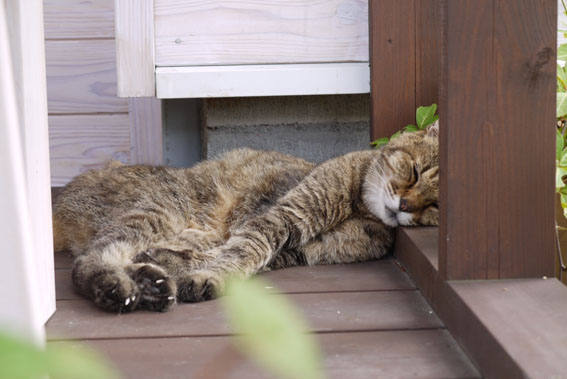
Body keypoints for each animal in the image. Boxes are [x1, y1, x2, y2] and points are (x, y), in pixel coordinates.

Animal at [53, 123, 442, 314]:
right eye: (415, 171)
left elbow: (229, 257)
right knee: (90, 259)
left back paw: (148, 283)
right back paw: (117, 289)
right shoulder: (281, 216)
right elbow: (244, 250)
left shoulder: (298, 251)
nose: (405, 205)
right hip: (157, 212)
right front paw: (205, 275)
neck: (361, 210)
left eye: (433, 207)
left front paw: (186, 268)